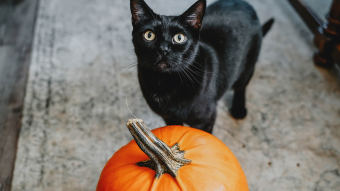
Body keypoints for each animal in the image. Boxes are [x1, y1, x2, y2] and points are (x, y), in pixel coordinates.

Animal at [130, 0, 274, 133]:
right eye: (149, 35)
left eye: (179, 38)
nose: (163, 49)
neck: (164, 82)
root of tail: (244, 3)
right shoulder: (169, 117)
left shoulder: (205, 120)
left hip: (248, 65)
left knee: (241, 85)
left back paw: (238, 109)